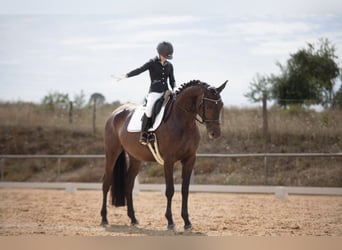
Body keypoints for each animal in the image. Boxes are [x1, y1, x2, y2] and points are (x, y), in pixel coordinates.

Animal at [99, 79, 227, 229]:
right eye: (208, 106)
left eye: (221, 105)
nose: (215, 134)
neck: (182, 121)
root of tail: (114, 114)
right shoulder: (168, 160)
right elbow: (170, 190)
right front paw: (170, 221)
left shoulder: (190, 159)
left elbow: (185, 190)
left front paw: (187, 221)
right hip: (112, 153)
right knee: (106, 182)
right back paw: (104, 218)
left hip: (135, 158)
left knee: (128, 183)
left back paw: (133, 218)